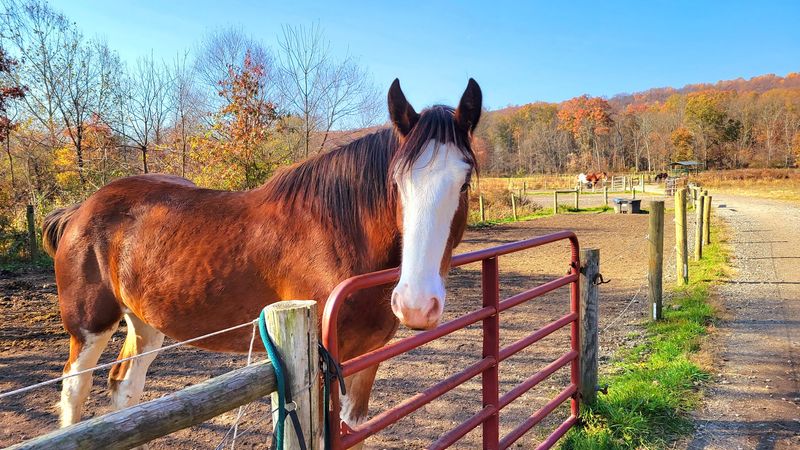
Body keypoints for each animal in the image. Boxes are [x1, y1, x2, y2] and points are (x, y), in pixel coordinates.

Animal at [42, 78, 482, 436]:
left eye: (464, 184)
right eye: (396, 182)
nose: (416, 304)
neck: (337, 234)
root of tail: (79, 209)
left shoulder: (364, 364)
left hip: (145, 322)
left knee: (124, 386)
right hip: (89, 327)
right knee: (74, 388)